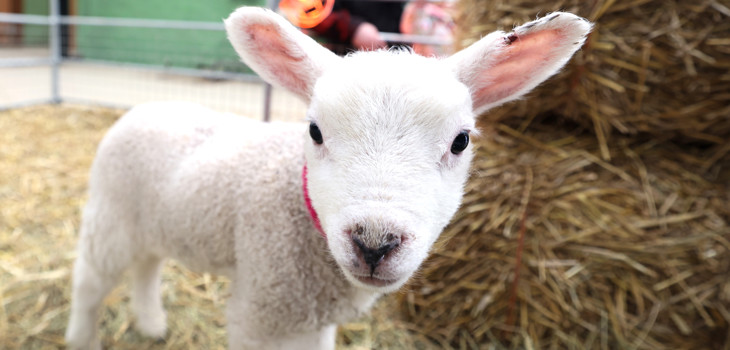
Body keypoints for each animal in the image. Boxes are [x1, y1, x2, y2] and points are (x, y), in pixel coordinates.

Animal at [64, 6, 592, 350]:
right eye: (314, 131)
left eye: (461, 141)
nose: (375, 243)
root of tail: (145, 106)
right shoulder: (265, 309)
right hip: (109, 217)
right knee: (90, 283)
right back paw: (81, 338)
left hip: (152, 221)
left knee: (147, 266)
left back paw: (152, 324)